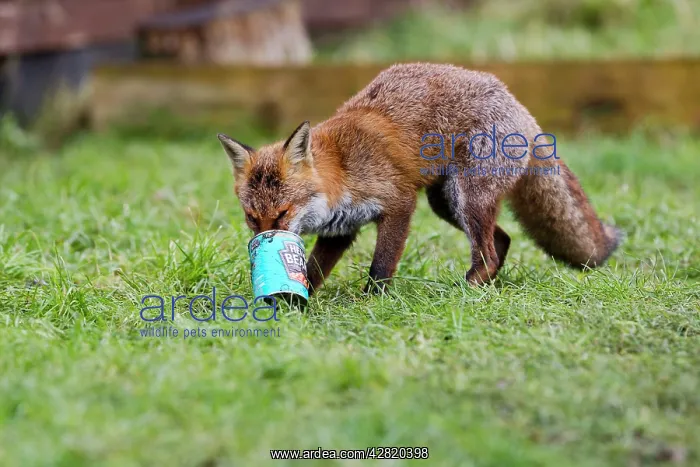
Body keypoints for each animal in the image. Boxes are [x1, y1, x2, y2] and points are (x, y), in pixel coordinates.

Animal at [218, 63, 622, 295]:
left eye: (283, 214)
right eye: (252, 218)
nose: (262, 243)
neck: (344, 169)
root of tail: (522, 110)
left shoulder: (399, 203)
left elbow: (381, 266)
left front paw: (373, 303)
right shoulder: (341, 229)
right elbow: (313, 271)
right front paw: (294, 301)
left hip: (468, 198)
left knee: (489, 251)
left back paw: (464, 291)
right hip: (446, 203)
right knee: (502, 241)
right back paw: (484, 286)